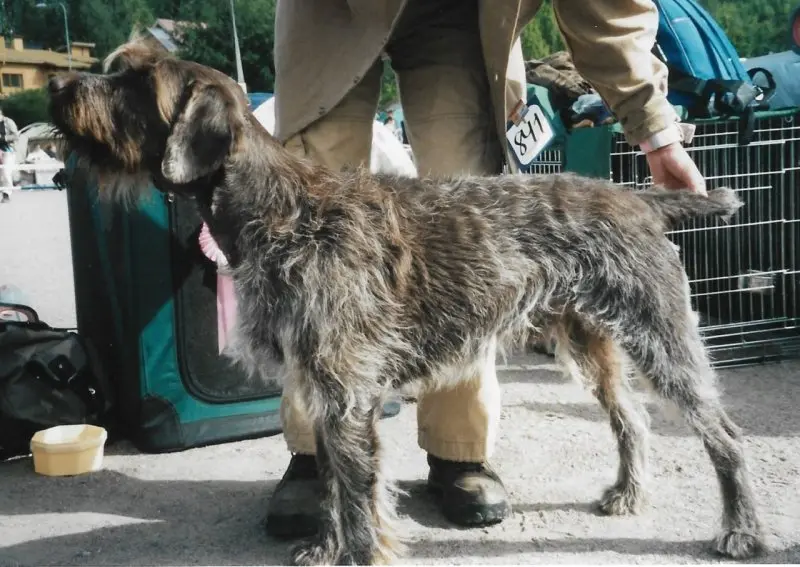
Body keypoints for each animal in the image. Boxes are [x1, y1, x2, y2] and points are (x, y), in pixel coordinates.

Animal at [47, 38, 764, 564]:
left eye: (135, 83)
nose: (57, 87)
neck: (280, 211)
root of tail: (640, 199)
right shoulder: (320, 389)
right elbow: (333, 484)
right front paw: (325, 546)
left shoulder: (346, 395)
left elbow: (360, 497)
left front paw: (358, 553)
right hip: (590, 342)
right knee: (632, 420)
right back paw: (627, 492)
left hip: (661, 339)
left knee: (725, 435)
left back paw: (743, 531)